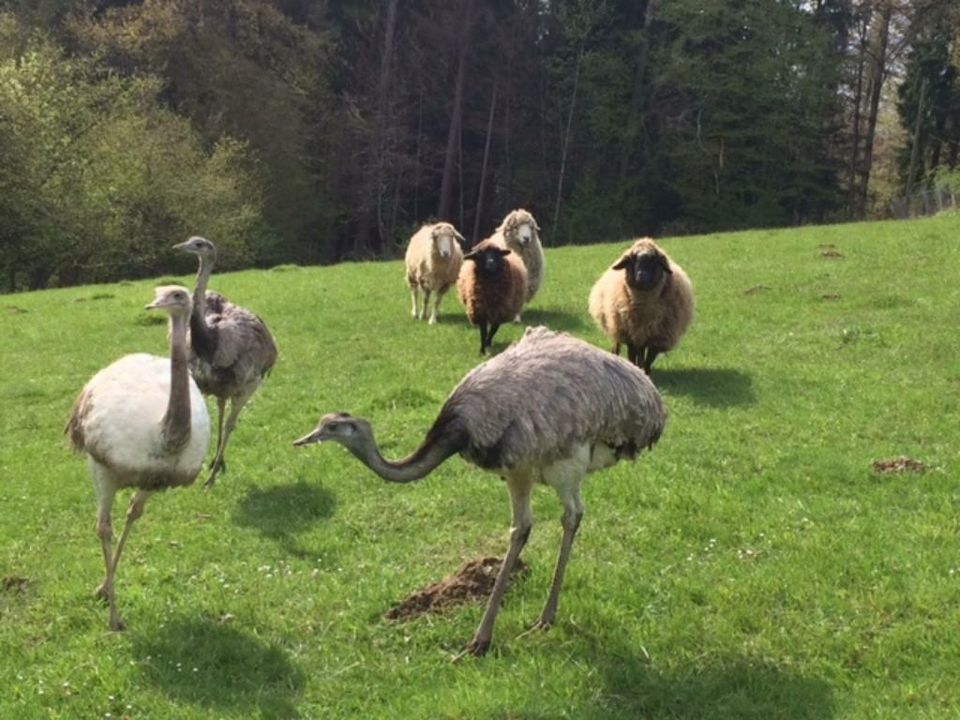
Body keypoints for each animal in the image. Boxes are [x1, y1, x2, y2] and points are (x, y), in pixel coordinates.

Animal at [588, 238, 692, 374]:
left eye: (654, 260)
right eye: (632, 259)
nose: (641, 275)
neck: (644, 305)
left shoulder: (657, 338)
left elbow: (649, 360)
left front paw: (646, 373)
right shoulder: (630, 335)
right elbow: (632, 357)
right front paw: (634, 369)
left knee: (641, 352)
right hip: (617, 326)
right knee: (618, 346)